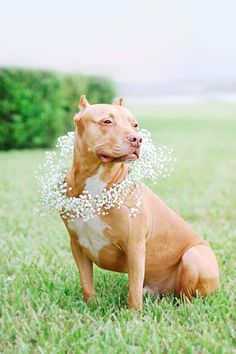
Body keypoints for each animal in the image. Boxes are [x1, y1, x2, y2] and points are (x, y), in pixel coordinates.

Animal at [63, 95, 219, 308]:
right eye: (107, 121)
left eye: (135, 124)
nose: (137, 139)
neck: (96, 185)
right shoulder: (77, 245)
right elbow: (86, 284)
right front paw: (90, 306)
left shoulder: (135, 247)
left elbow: (134, 289)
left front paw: (133, 313)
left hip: (194, 256)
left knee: (186, 296)